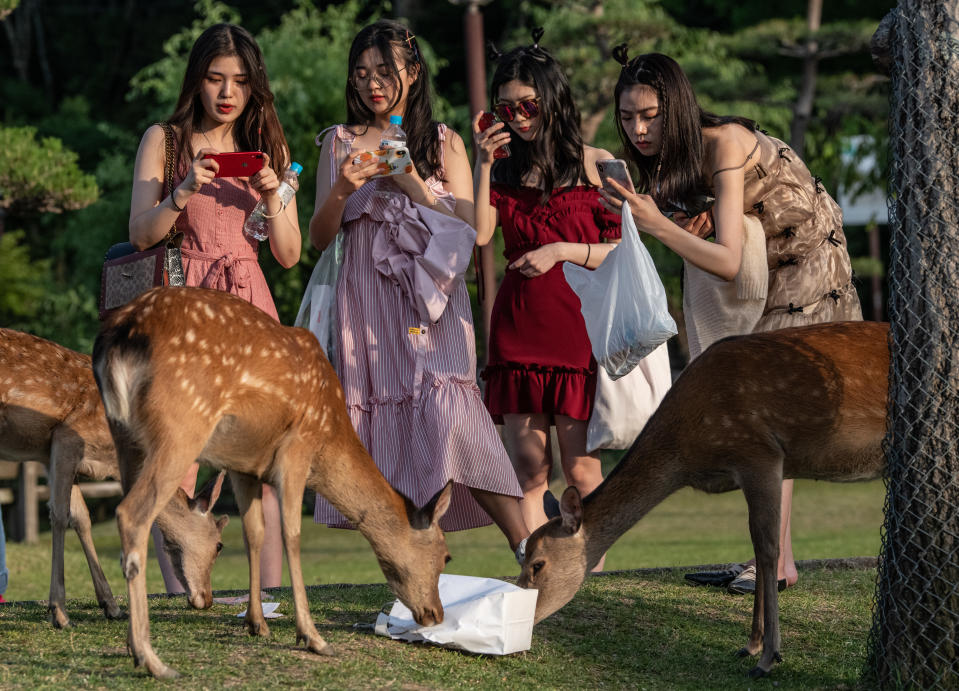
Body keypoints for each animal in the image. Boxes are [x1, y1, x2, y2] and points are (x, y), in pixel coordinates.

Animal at [0, 328, 231, 628]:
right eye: (219, 545)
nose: (207, 598)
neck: (113, 458)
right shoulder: (67, 437)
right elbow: (60, 516)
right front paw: (59, 612)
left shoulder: (48, 454)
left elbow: (82, 518)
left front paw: (111, 606)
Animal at [95, 286, 456, 680]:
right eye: (446, 555)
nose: (435, 613)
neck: (330, 433)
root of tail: (118, 336)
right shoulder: (298, 447)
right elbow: (291, 535)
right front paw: (312, 636)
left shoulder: (242, 466)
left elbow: (255, 533)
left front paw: (256, 623)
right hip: (182, 424)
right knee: (132, 515)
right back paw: (151, 659)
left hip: (124, 436)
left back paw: (134, 647)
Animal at [520, 322, 888, 680]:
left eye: (537, 564)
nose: (525, 615)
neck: (688, 453)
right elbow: (756, 548)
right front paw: (750, 645)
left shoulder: (759, 453)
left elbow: (768, 549)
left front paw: (768, 656)